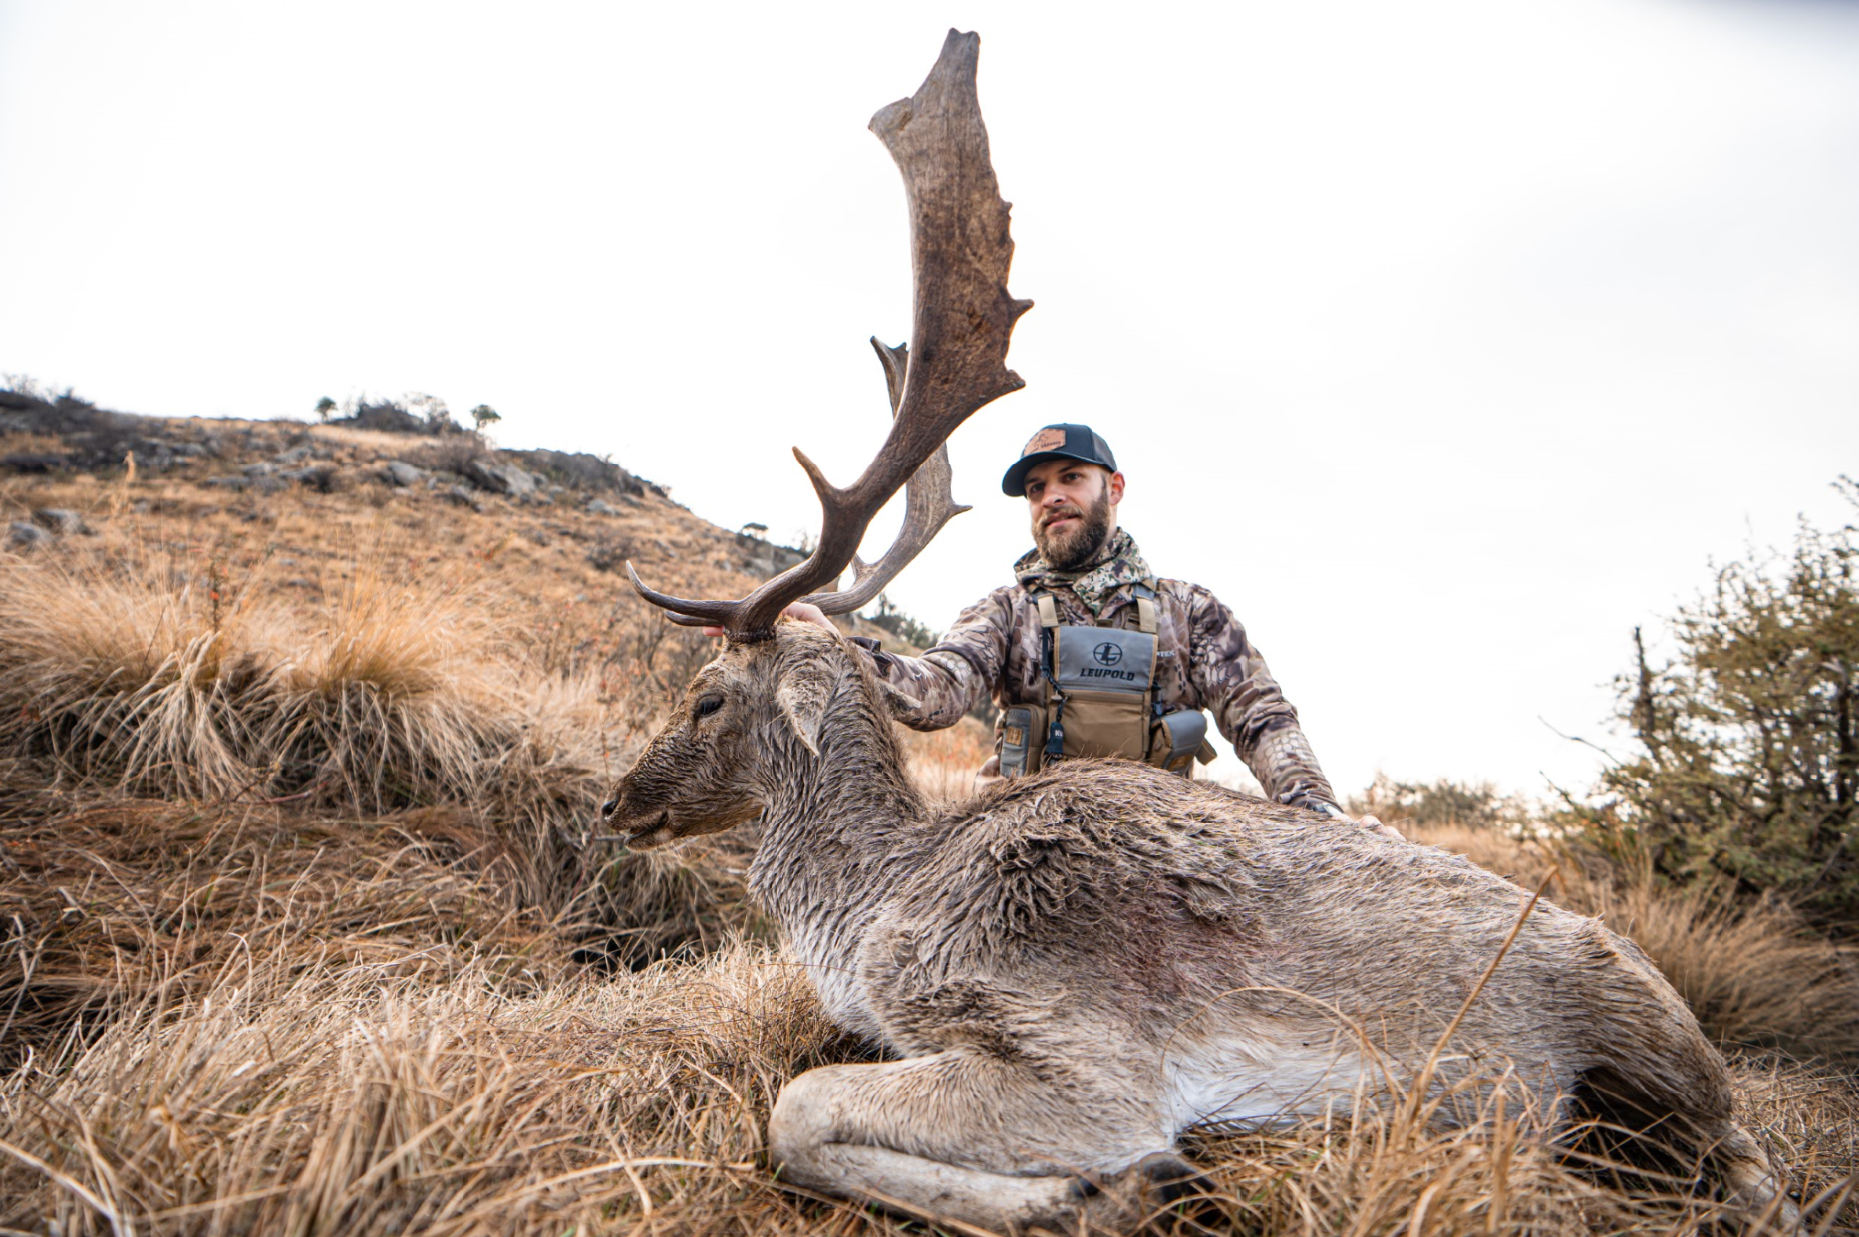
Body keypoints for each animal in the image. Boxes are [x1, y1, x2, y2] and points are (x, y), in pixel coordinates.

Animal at [603, 30, 1798, 1234]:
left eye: (708, 694)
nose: (614, 803)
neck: (874, 912)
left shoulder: (1080, 1049)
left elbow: (795, 1108)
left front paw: (1115, 1187)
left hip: (1646, 1043)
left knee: (1753, 1168)